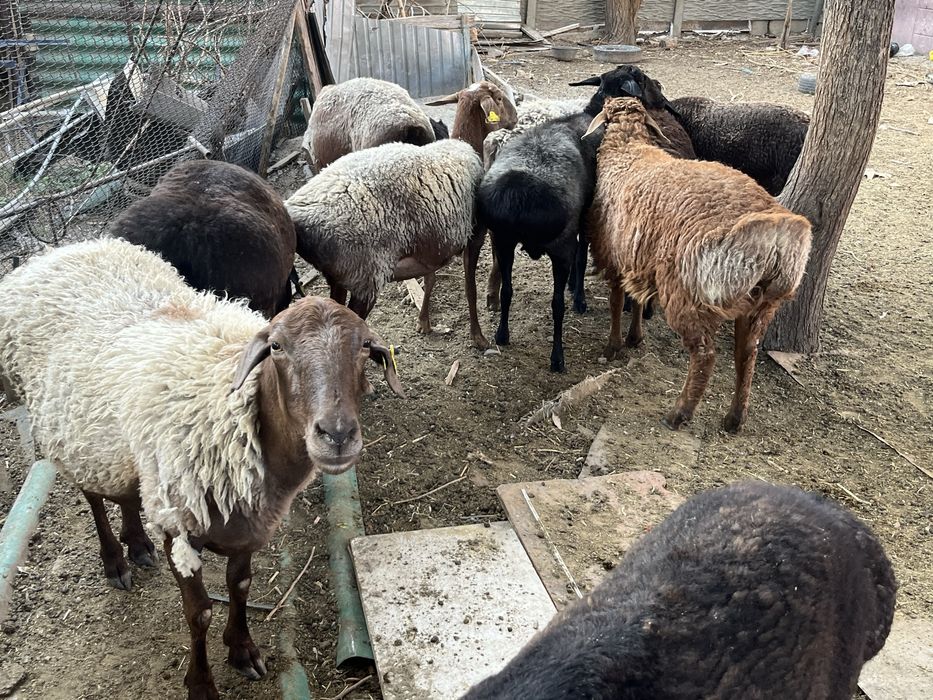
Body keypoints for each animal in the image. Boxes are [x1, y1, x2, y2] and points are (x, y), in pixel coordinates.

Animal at [0, 237, 405, 699]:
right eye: (277, 347)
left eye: (365, 347)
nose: (336, 434)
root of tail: (65, 250)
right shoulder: (181, 523)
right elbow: (200, 614)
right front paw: (202, 684)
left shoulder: (247, 522)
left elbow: (240, 585)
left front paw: (243, 648)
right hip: (73, 433)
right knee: (94, 497)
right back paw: (116, 561)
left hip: (123, 447)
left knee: (126, 493)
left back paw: (137, 543)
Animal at [287, 138, 491, 349]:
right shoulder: (475, 235)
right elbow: (470, 288)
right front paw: (478, 336)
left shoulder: (430, 250)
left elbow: (431, 280)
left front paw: (423, 321)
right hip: (365, 277)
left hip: (341, 276)